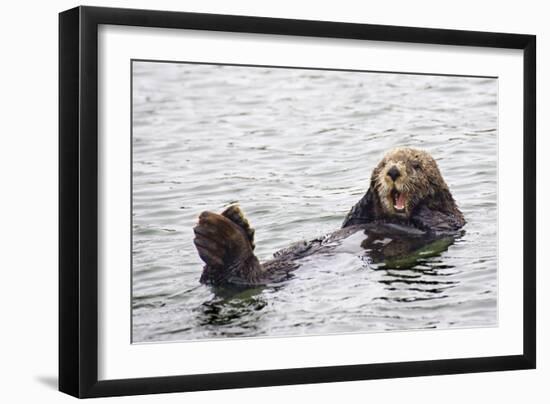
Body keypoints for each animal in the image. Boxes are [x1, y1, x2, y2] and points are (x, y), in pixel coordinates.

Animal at [193, 147, 466, 286]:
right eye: (385, 162)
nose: (393, 171)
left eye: (415, 166)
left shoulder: (451, 221)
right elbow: (354, 216)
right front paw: (370, 190)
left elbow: (439, 220)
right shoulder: (359, 218)